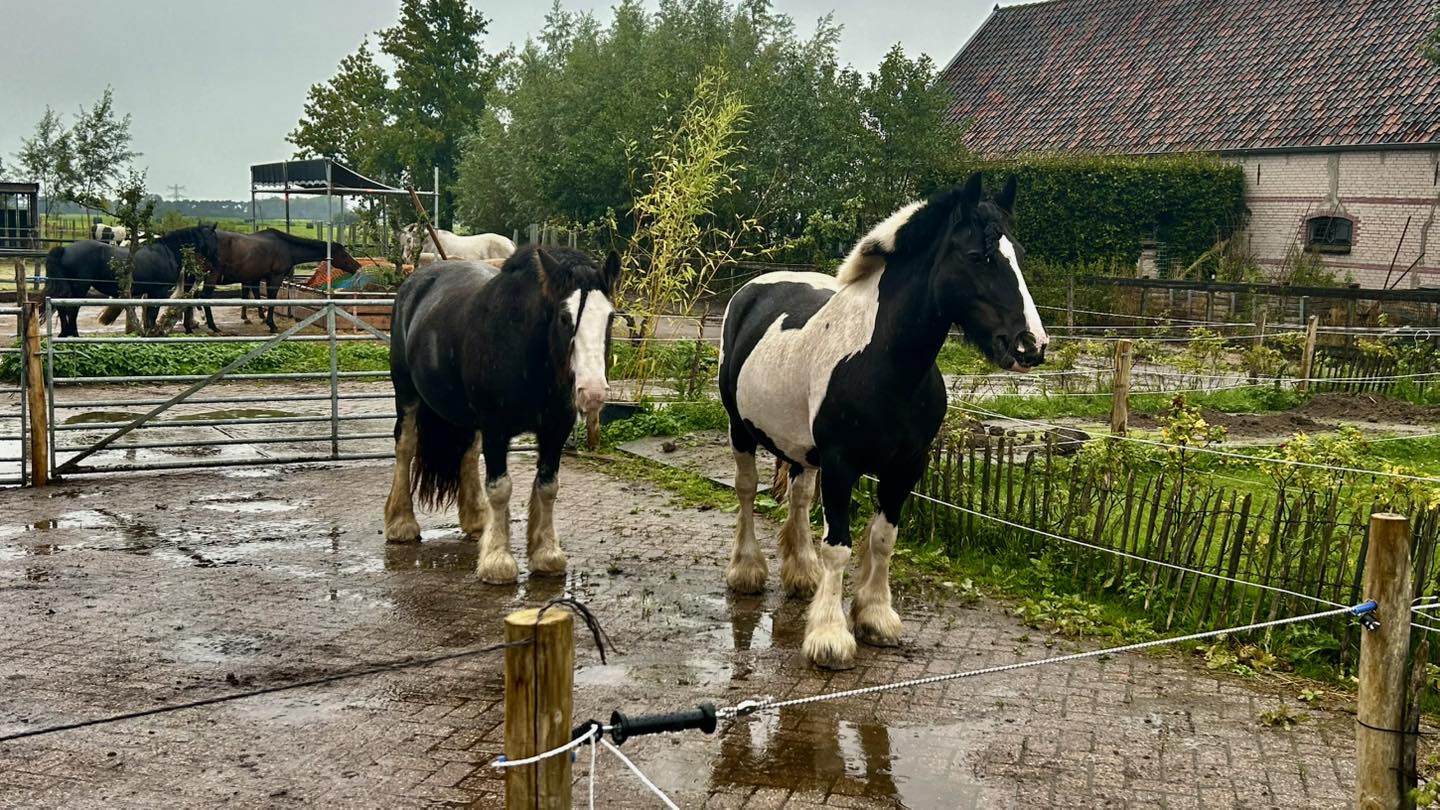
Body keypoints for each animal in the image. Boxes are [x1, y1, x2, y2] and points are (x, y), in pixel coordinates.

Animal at [44, 225, 220, 338]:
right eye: (214, 238)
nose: (215, 263)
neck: (166, 251)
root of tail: (65, 249)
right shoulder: (159, 291)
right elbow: (153, 313)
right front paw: (152, 333)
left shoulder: (150, 291)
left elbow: (149, 314)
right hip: (79, 287)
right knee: (72, 308)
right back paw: (73, 333)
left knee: (62, 307)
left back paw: (64, 333)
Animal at [197, 229, 362, 333]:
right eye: (344, 254)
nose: (358, 266)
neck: (287, 248)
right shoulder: (275, 277)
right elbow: (271, 300)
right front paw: (271, 325)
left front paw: (263, 319)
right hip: (211, 277)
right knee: (204, 297)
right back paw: (212, 326)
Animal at [383, 247, 620, 585]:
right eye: (564, 317)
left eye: (610, 317)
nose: (593, 392)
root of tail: (415, 281)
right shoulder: (496, 427)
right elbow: (500, 489)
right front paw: (497, 561)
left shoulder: (555, 429)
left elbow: (548, 486)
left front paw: (545, 554)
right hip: (406, 393)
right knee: (405, 447)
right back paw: (401, 522)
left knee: (468, 454)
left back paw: (475, 519)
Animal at [717, 173, 1048, 670]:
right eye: (978, 256)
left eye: (1019, 256)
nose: (1031, 345)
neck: (881, 362)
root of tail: (754, 286)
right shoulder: (841, 464)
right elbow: (839, 546)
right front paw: (830, 637)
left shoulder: (906, 466)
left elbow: (883, 538)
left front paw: (874, 616)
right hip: (741, 430)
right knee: (744, 489)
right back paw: (747, 570)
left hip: (801, 449)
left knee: (799, 497)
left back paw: (802, 574)